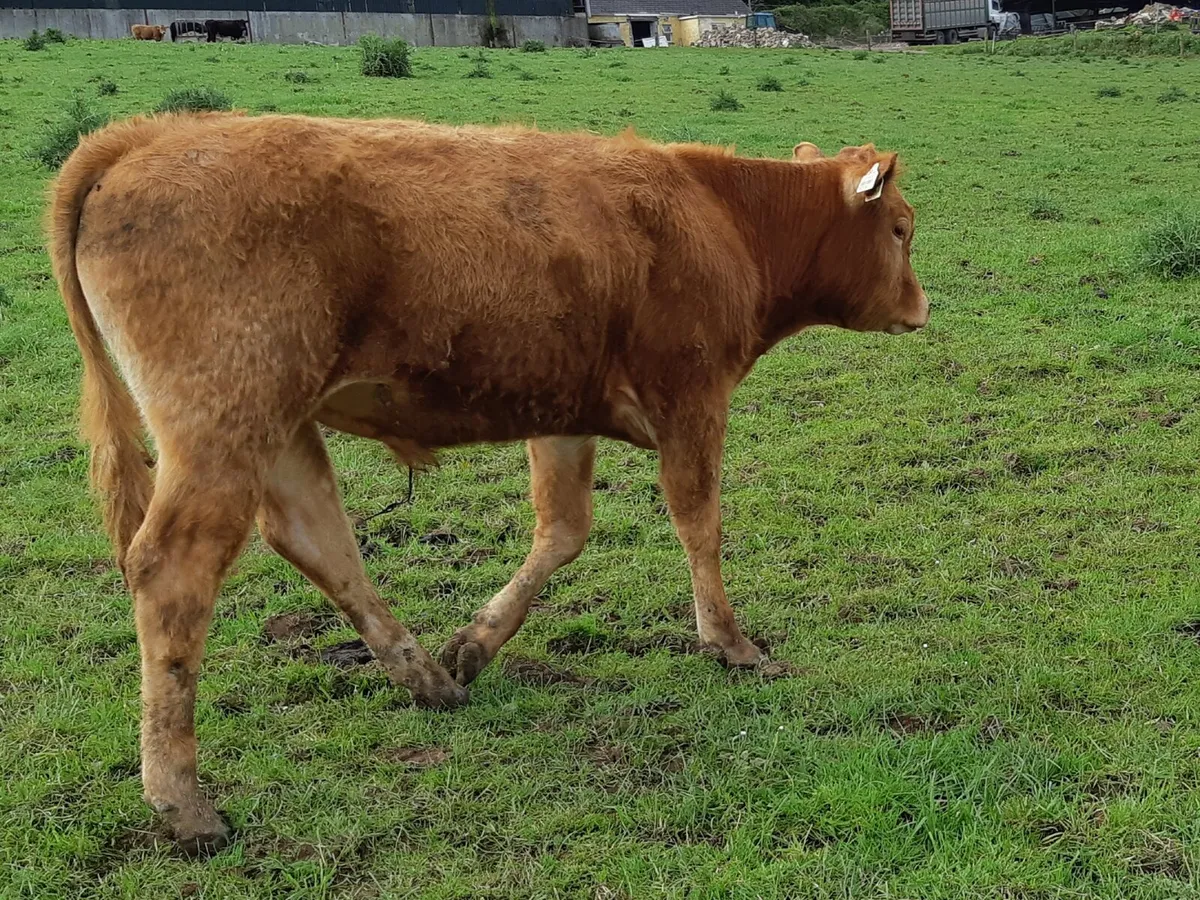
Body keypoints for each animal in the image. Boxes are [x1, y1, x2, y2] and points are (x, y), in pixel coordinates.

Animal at [48, 113, 927, 854]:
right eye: (901, 229)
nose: (921, 309)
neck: (723, 215)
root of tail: (149, 135)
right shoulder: (692, 400)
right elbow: (698, 522)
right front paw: (731, 644)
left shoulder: (564, 413)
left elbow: (563, 531)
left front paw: (474, 644)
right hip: (222, 426)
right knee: (174, 571)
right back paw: (181, 800)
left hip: (279, 427)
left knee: (316, 537)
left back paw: (427, 678)